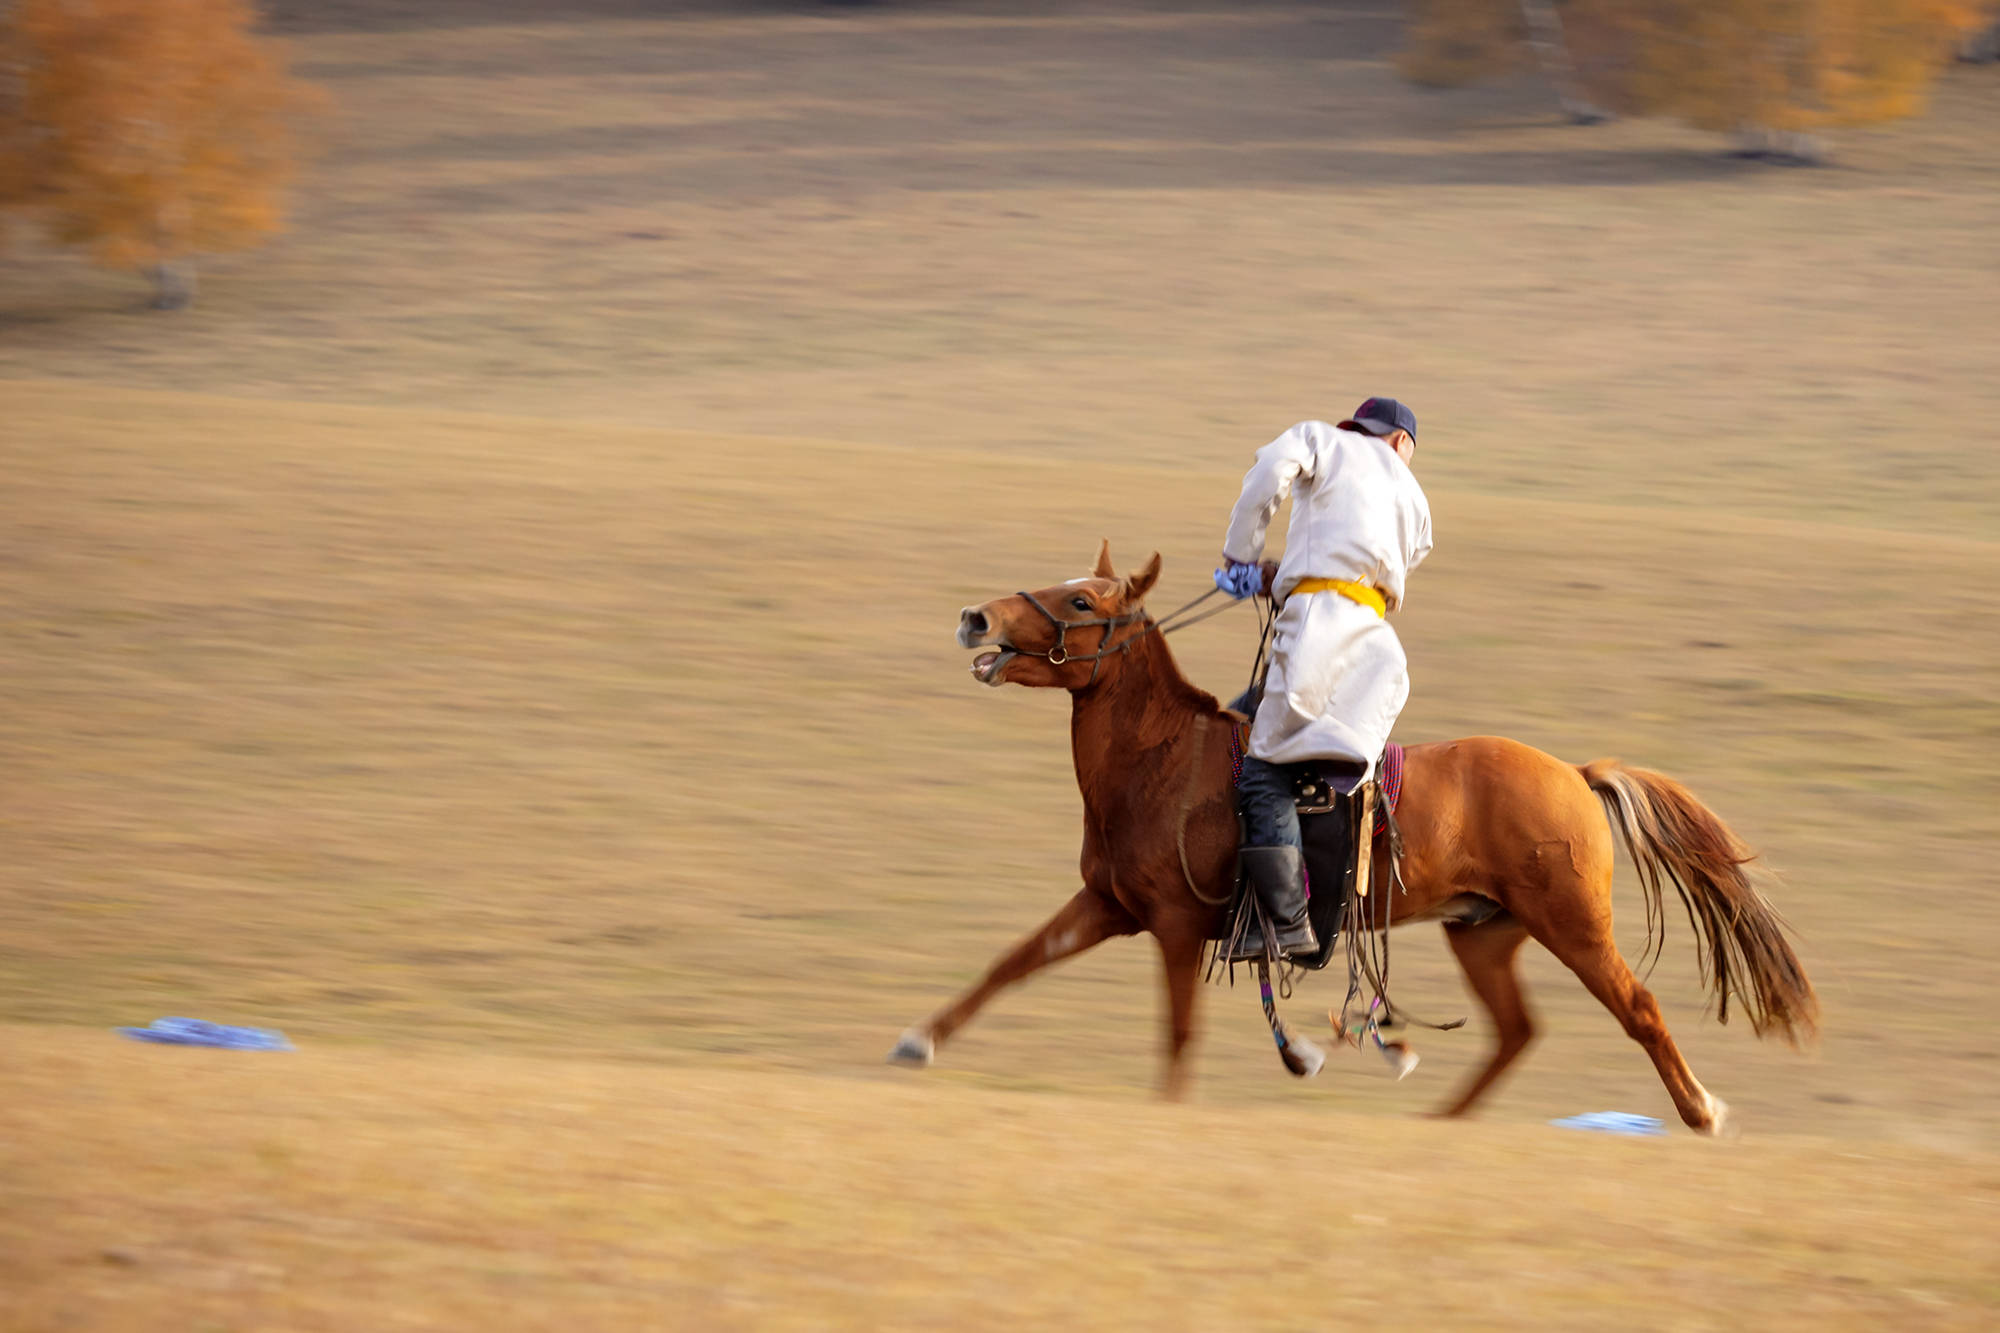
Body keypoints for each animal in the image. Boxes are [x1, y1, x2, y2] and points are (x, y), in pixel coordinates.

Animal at [884, 540, 1824, 1128]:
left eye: (1079, 598)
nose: (974, 617)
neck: (1160, 761)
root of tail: (1574, 772)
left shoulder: (1178, 927)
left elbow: (1178, 1030)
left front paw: (1174, 1106)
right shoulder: (1106, 906)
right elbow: (1011, 962)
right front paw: (917, 1040)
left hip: (1574, 926)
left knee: (1639, 1008)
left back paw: (1702, 1111)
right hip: (1485, 933)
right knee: (1518, 1030)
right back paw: (1442, 1119)